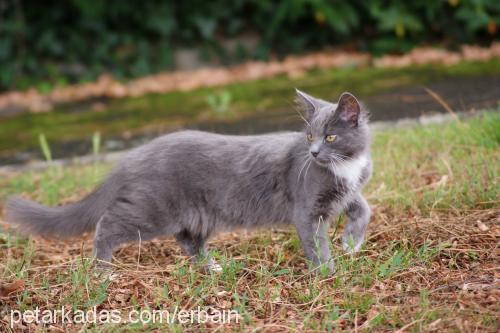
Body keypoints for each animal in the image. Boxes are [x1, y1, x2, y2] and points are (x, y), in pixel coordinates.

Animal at [4, 89, 372, 274]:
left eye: (331, 136)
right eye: (309, 135)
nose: (313, 153)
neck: (346, 165)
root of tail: (135, 154)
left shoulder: (347, 192)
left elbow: (363, 207)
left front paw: (351, 242)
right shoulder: (306, 209)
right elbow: (315, 242)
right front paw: (326, 272)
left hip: (200, 213)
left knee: (187, 240)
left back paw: (211, 267)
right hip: (153, 209)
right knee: (107, 225)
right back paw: (103, 270)